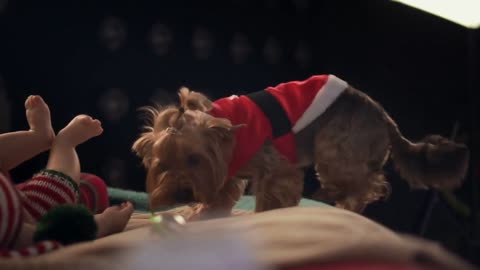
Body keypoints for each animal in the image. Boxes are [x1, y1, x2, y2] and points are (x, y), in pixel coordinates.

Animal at [133, 75, 470, 218]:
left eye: (194, 159)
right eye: (162, 165)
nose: (180, 195)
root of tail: (384, 116)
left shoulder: (275, 165)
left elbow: (273, 193)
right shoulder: (227, 171)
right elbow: (223, 193)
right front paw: (202, 210)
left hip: (335, 149)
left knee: (367, 184)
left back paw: (340, 200)